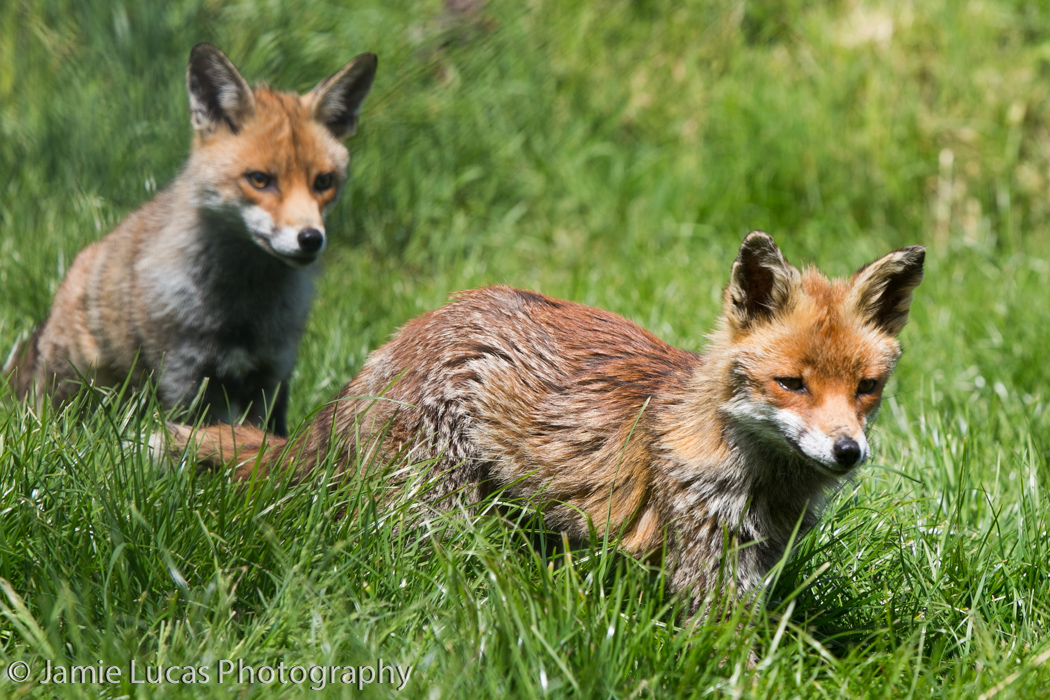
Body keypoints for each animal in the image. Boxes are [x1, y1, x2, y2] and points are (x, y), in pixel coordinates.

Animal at [5, 43, 377, 436]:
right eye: (260, 180)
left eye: (323, 182)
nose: (310, 238)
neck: (245, 310)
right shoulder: (184, 375)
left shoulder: (274, 372)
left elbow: (265, 437)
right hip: (82, 386)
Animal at [165, 232, 924, 616]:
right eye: (791, 384)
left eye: (866, 388)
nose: (847, 451)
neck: (761, 478)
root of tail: (401, 337)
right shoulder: (705, 564)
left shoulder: (756, 560)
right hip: (438, 511)